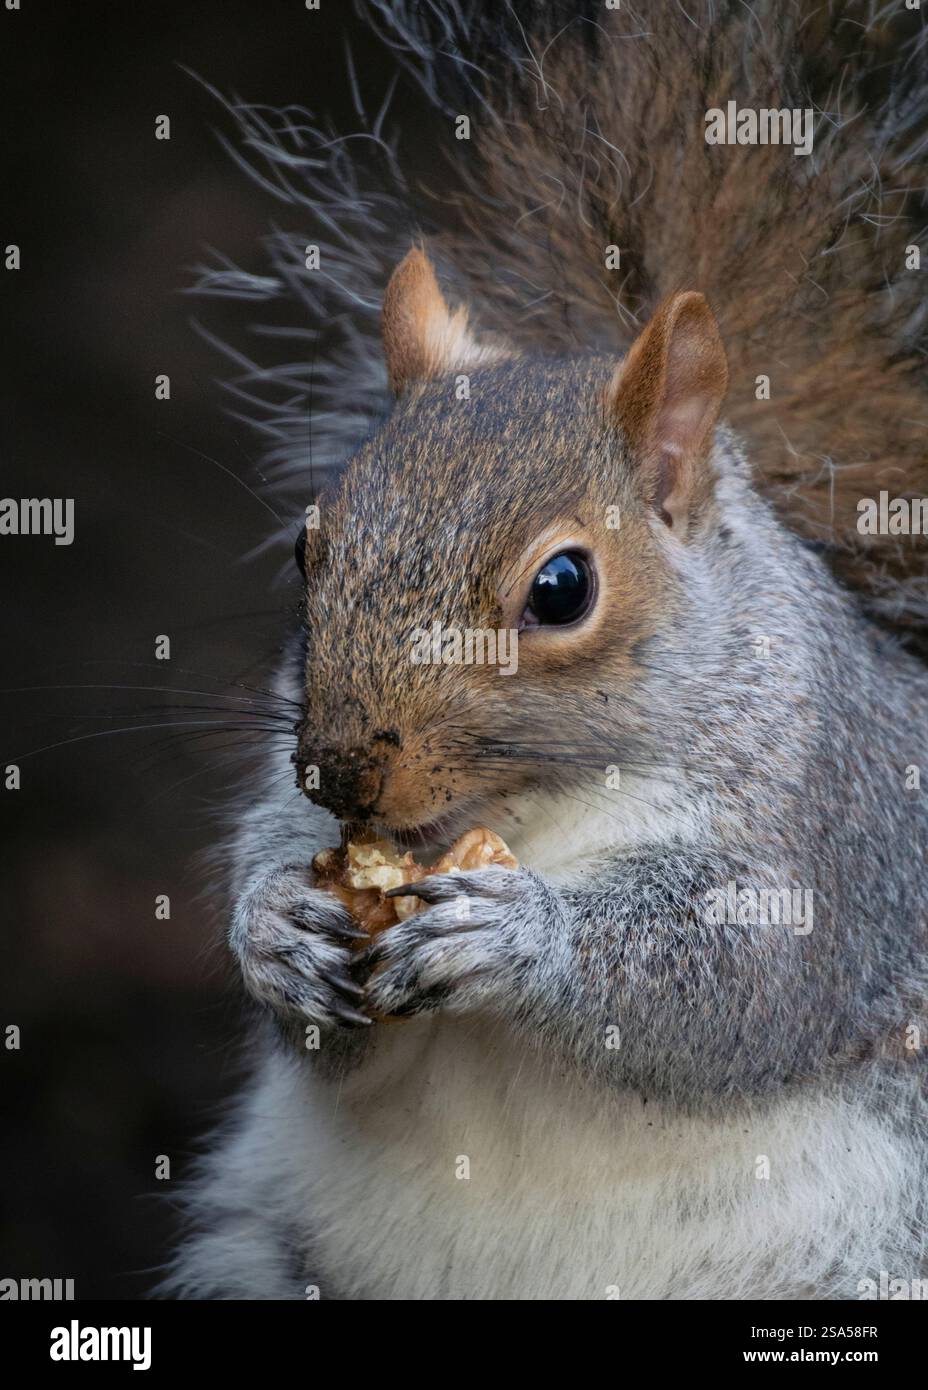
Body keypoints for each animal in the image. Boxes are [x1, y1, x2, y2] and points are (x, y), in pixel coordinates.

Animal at [164, 2, 928, 1300]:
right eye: (309, 548)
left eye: (562, 588)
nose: (338, 772)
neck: (533, 808)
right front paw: (275, 928)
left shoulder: (836, 826)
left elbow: (749, 985)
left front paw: (522, 937)